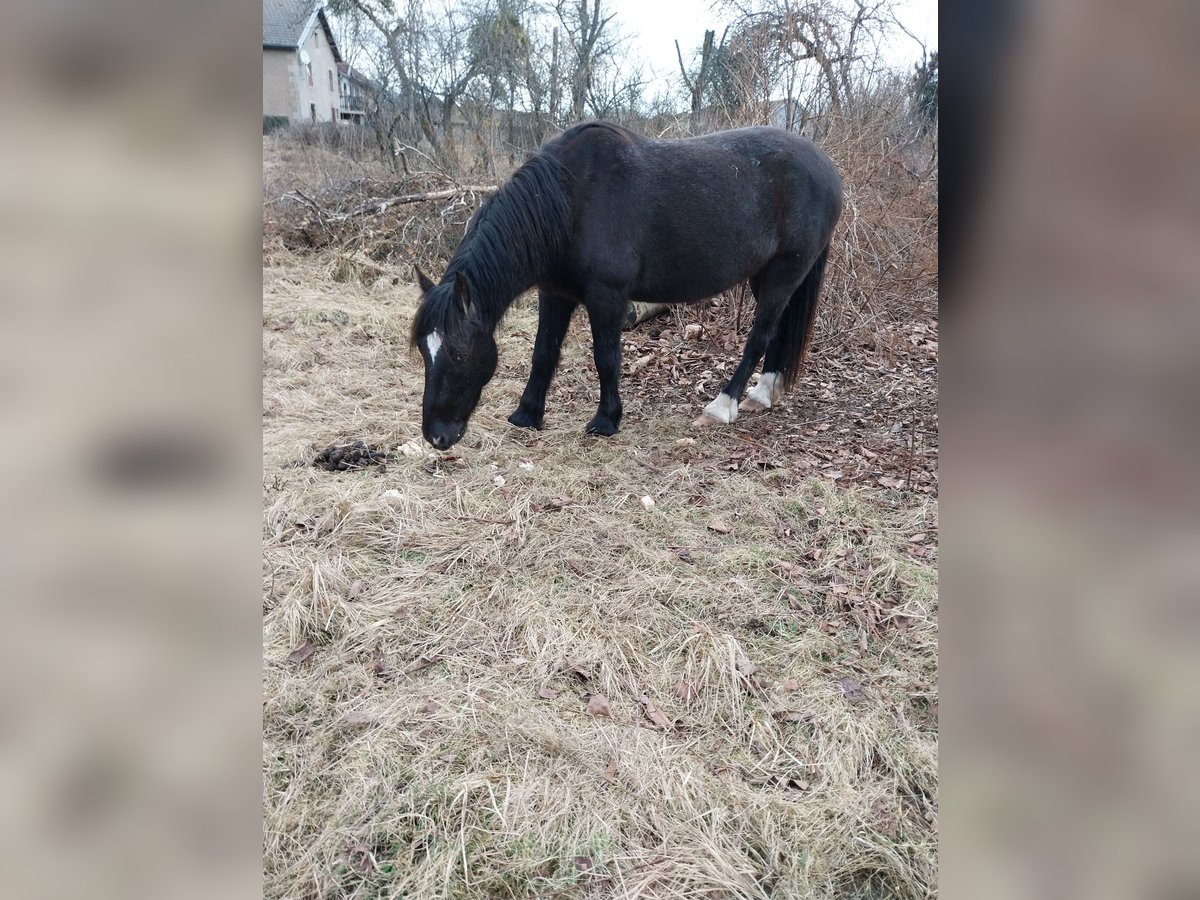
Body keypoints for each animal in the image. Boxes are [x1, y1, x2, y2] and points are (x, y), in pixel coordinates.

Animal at [412, 121, 844, 451]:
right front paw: (527, 415)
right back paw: (764, 393)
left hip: (783, 273)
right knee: (779, 330)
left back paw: (722, 406)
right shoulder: (555, 294)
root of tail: (827, 167)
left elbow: (606, 357)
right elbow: (543, 354)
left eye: (459, 353)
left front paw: (606, 421)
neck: (570, 200)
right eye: (423, 351)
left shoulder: (607, 296)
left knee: (760, 336)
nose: (437, 437)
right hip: (767, 276)